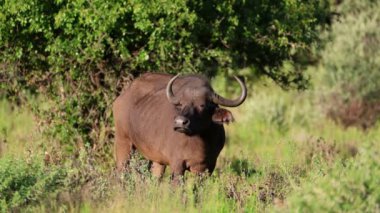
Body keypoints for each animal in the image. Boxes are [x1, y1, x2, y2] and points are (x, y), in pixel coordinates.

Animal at [113, 73, 246, 181]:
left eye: (202, 105)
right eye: (182, 104)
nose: (180, 122)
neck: (201, 143)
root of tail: (121, 97)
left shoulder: (207, 168)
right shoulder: (177, 165)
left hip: (157, 160)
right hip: (123, 142)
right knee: (121, 173)